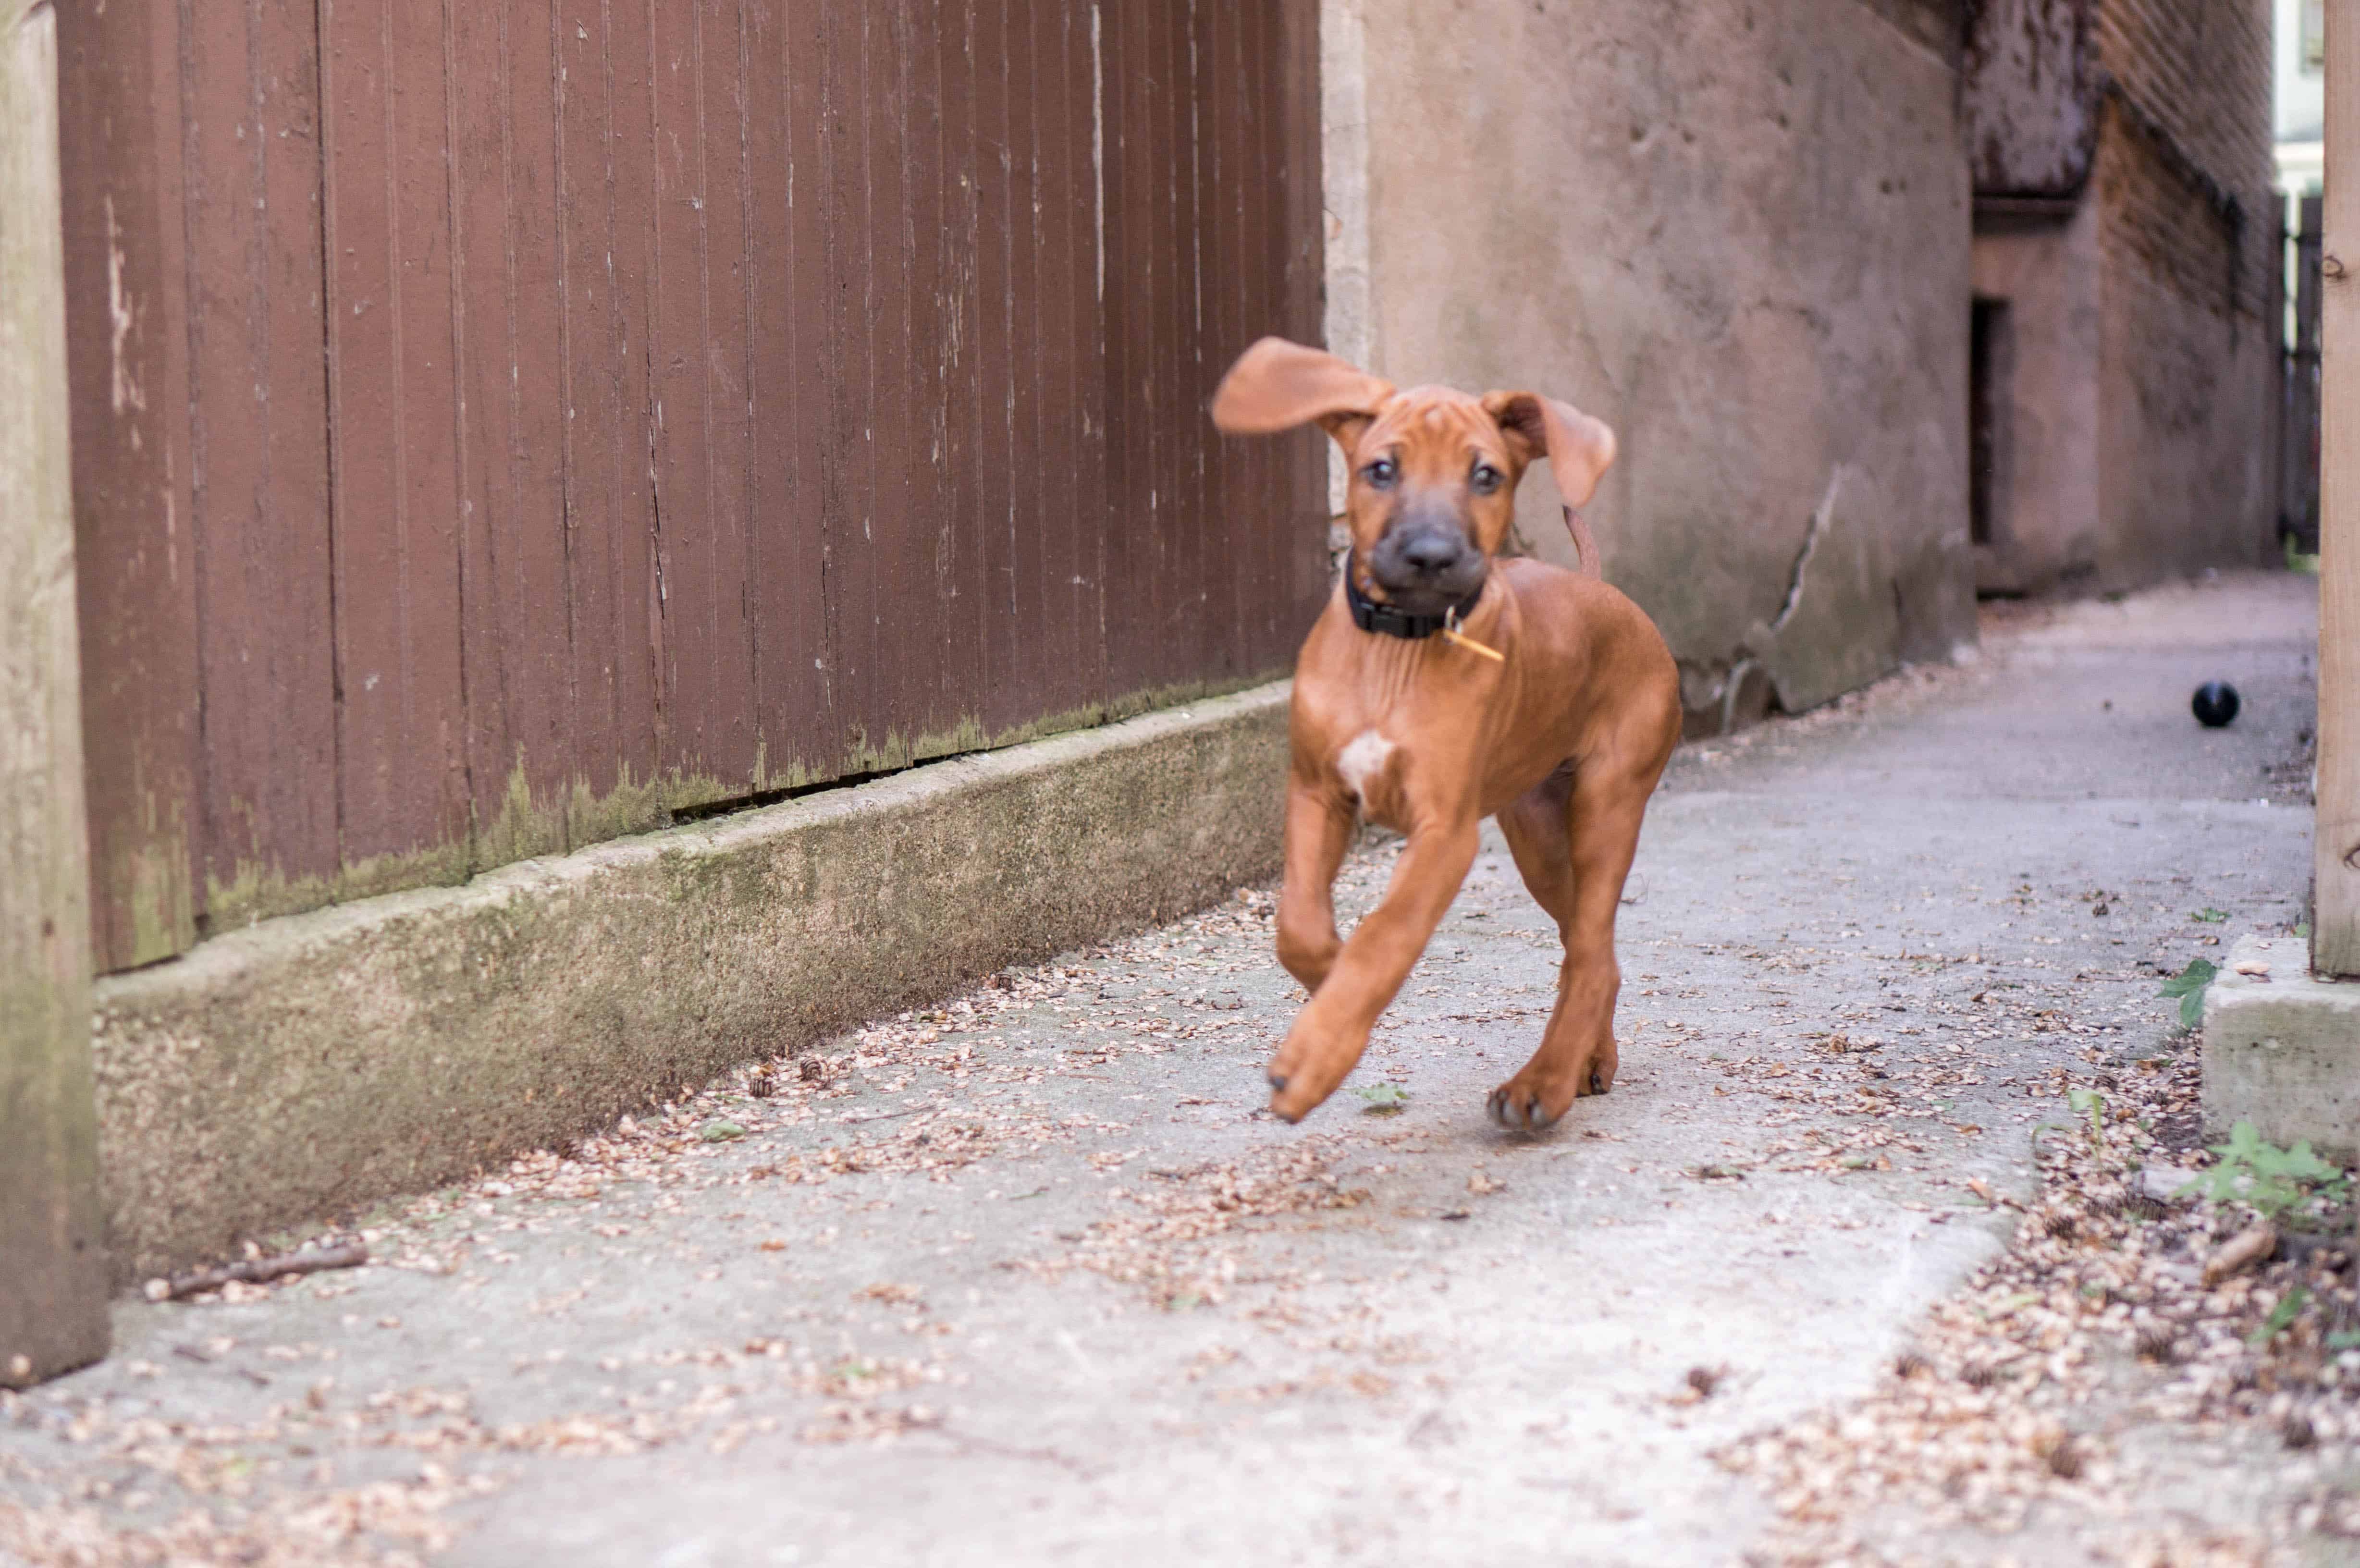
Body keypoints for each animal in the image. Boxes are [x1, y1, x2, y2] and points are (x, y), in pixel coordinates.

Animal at [1208, 340, 1689, 1128]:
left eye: (1485, 475)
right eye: (1381, 469)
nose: (1431, 555)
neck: (1395, 651)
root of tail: (1607, 593)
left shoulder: (1445, 832)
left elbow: (1386, 933)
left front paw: (1317, 1057)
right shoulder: (1316, 794)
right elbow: (1300, 927)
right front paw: (1330, 992)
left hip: (1608, 804)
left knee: (1591, 953)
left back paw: (1543, 1083)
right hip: (1537, 836)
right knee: (1591, 949)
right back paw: (1587, 1061)